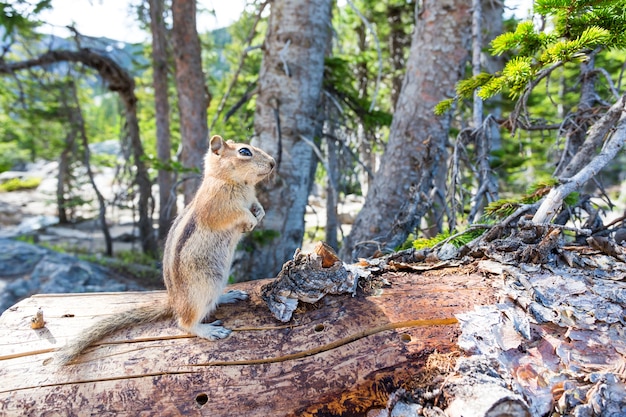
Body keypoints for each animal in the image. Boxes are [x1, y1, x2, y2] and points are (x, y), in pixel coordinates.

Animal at [54, 135, 274, 362]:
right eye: (244, 152)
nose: (273, 163)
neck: (236, 183)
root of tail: (174, 302)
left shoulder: (251, 198)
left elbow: (256, 206)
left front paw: (259, 213)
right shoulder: (218, 206)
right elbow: (237, 214)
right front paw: (250, 220)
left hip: (217, 282)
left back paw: (229, 296)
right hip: (201, 290)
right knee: (185, 323)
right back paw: (209, 330)